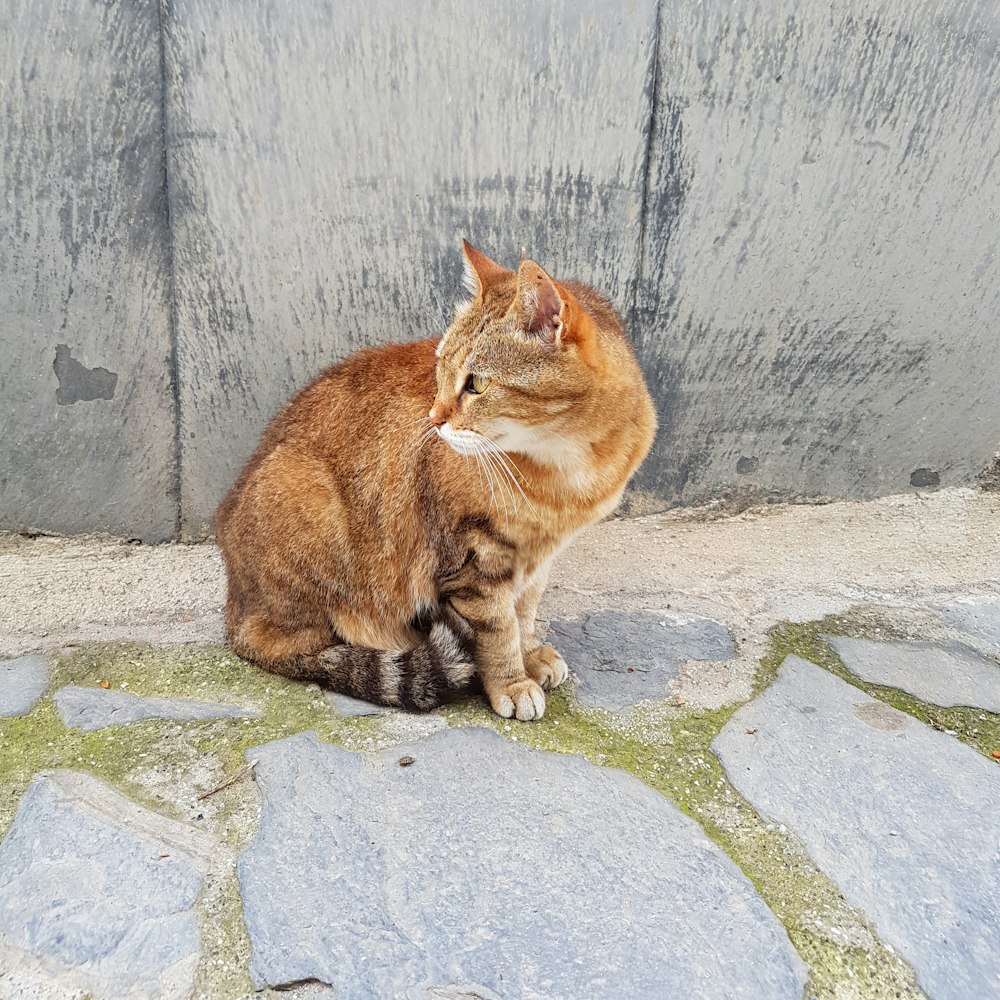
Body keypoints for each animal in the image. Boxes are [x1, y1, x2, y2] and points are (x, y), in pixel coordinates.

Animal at [213, 246, 656, 724]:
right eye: (440, 369)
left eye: (476, 383)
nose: (434, 418)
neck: (565, 471)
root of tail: (234, 613)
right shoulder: (472, 560)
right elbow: (498, 628)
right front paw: (511, 681)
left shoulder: (538, 556)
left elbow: (524, 611)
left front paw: (530, 655)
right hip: (309, 499)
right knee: (299, 645)